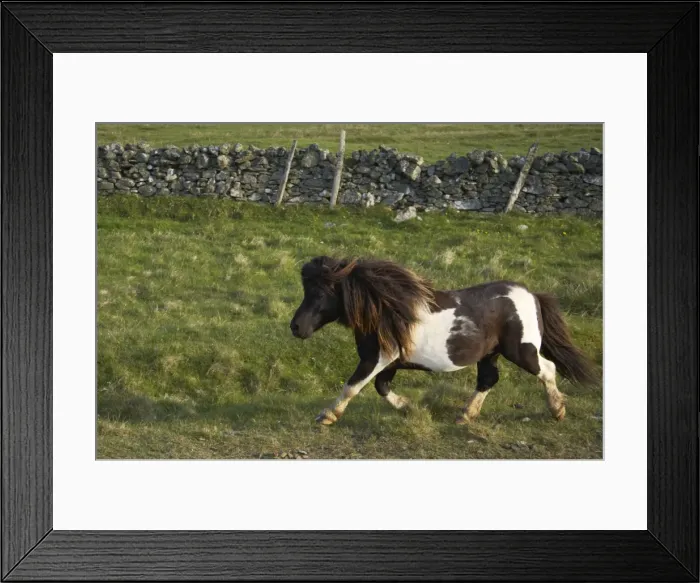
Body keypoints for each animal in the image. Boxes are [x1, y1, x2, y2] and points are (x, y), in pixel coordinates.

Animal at [289, 255, 600, 426]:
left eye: (319, 293)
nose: (296, 327)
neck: (385, 310)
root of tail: (532, 295)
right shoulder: (390, 361)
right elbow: (381, 387)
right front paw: (409, 407)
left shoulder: (377, 358)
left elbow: (352, 386)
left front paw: (327, 416)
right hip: (490, 353)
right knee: (488, 379)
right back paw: (465, 415)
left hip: (521, 350)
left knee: (547, 369)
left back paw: (557, 410)